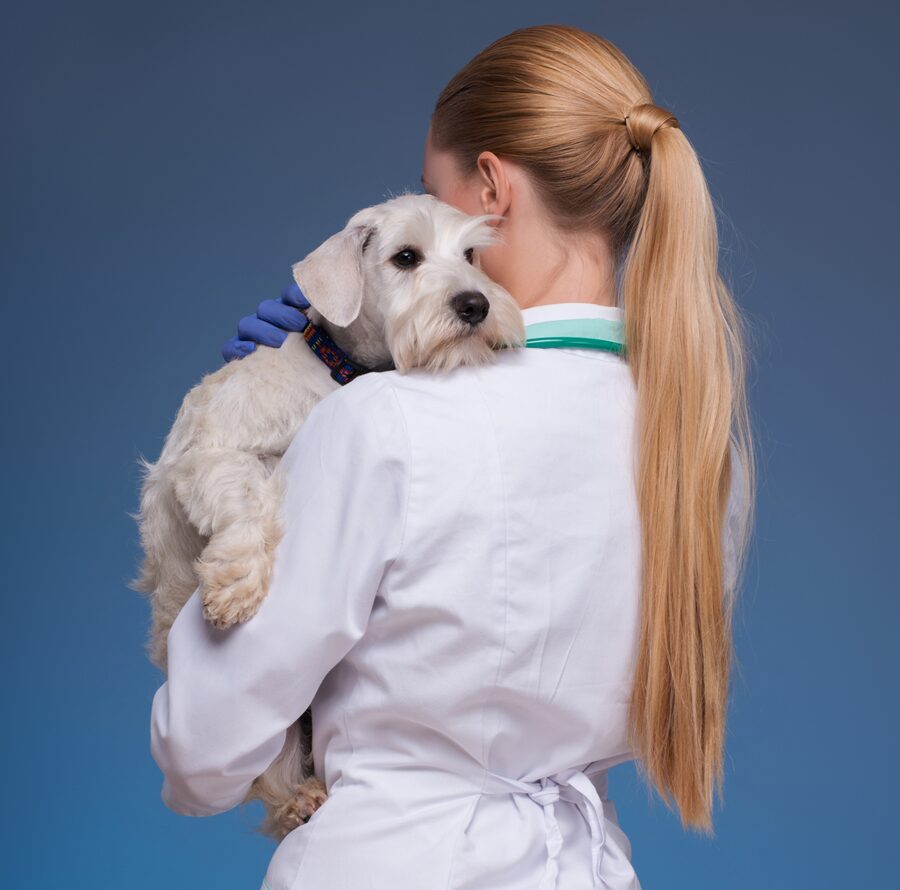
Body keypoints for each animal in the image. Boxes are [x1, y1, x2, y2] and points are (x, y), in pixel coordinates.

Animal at [134, 193, 528, 840]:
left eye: (471, 253)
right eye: (405, 257)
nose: (476, 304)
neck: (338, 370)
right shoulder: (212, 456)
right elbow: (247, 494)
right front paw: (235, 585)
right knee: (270, 769)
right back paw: (298, 800)